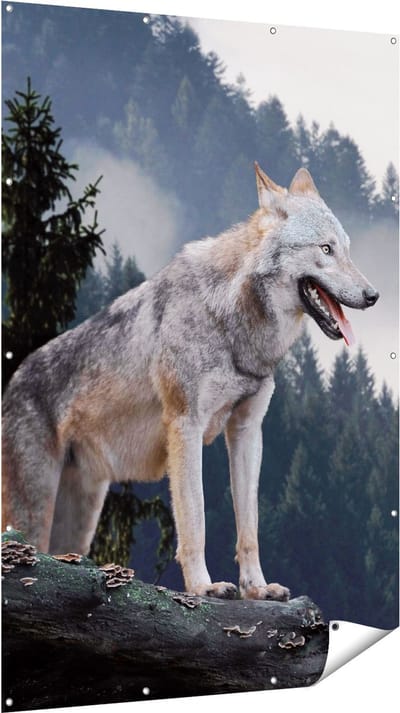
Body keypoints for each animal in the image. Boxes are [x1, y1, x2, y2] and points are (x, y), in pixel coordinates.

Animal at [2, 164, 379, 600]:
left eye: (347, 249)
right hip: (33, 513)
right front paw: (203, 586)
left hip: (79, 521)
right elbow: (195, 520)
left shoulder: (248, 431)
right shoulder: (185, 426)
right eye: (326, 249)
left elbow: (249, 527)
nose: (374, 295)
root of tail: (13, 380)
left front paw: (257, 588)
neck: (232, 322)